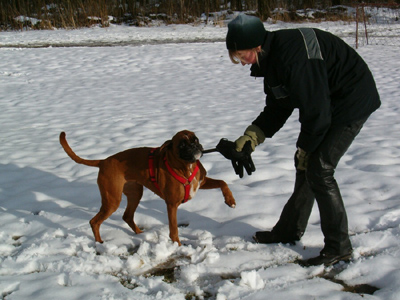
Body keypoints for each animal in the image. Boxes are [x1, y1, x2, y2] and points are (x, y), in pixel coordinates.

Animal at [58, 130, 234, 245]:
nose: (194, 146)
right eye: (182, 145)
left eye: (195, 139)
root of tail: (103, 161)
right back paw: (99, 243)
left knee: (127, 216)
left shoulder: (201, 183)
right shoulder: (172, 205)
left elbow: (223, 182)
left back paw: (139, 234)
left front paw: (230, 200)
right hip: (112, 200)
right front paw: (177, 246)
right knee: (94, 221)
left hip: (135, 193)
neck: (185, 167)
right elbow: (174, 230)